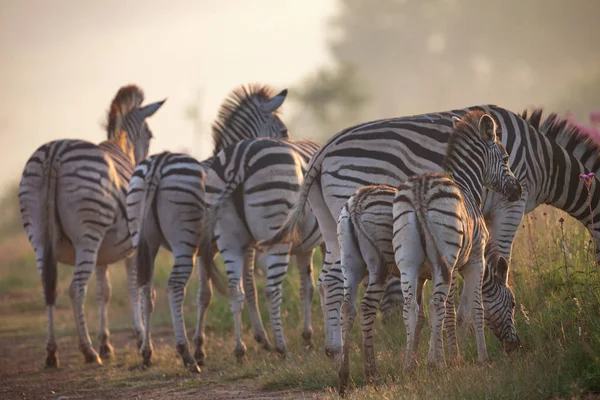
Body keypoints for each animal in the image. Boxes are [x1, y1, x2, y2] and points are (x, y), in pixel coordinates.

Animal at [18, 86, 164, 368]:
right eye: (150, 135)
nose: (143, 165)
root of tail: (54, 154)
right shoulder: (131, 248)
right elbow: (132, 289)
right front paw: (138, 336)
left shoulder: (103, 255)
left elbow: (103, 293)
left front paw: (106, 344)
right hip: (88, 235)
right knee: (75, 290)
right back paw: (87, 351)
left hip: (39, 236)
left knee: (49, 288)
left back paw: (52, 352)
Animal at [126, 85, 288, 372]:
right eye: (283, 131)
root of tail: (158, 164)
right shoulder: (240, 245)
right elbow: (248, 287)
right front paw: (261, 340)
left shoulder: (205, 250)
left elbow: (204, 295)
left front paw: (201, 347)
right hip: (183, 241)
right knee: (174, 286)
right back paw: (185, 355)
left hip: (144, 241)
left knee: (146, 288)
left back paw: (147, 352)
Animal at [198, 137, 324, 360]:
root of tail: (238, 162)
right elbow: (320, 285)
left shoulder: (302, 249)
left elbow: (306, 288)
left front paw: (307, 336)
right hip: (276, 229)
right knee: (271, 291)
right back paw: (281, 347)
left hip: (229, 238)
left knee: (234, 290)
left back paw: (239, 349)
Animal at [258, 104, 600, 358]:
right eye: (506, 159)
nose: (515, 348)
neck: (544, 161)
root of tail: (323, 149)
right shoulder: (508, 208)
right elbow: (498, 262)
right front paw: (467, 327)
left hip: (331, 223)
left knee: (327, 279)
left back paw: (334, 349)